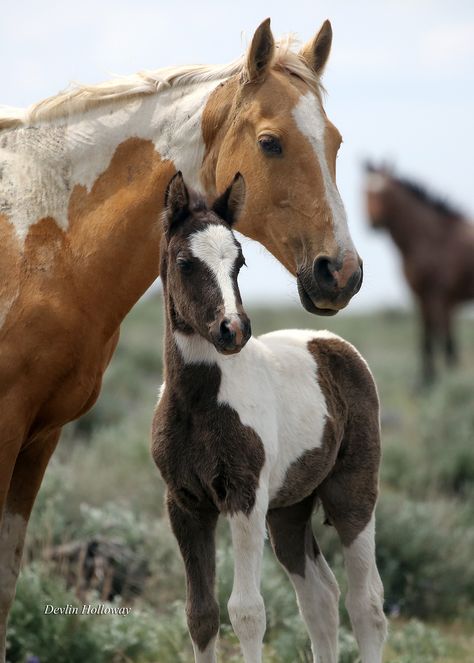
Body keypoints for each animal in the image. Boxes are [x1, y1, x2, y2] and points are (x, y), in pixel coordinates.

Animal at [152, 174, 386, 660]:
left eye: (239, 261)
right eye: (185, 262)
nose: (233, 329)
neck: (198, 401)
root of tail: (335, 344)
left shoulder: (245, 498)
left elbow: (247, 612)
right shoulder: (184, 504)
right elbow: (200, 614)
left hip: (352, 492)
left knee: (366, 603)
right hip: (289, 509)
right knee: (321, 598)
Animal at [366, 163, 474, 384]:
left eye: (385, 193)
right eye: (365, 192)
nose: (374, 222)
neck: (430, 238)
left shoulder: (437, 295)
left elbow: (437, 334)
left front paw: (438, 377)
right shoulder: (420, 295)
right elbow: (426, 334)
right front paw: (425, 379)